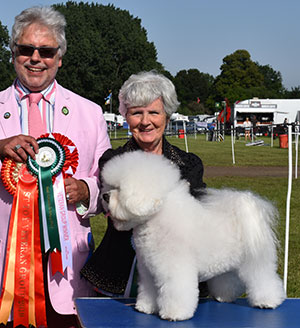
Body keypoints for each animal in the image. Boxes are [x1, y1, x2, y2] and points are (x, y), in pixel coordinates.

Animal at [101, 151, 286, 320]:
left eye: (120, 189)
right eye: (109, 186)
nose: (104, 196)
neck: (157, 219)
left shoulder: (174, 269)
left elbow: (176, 292)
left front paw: (174, 314)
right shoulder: (148, 272)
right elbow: (149, 291)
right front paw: (145, 307)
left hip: (255, 262)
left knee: (263, 279)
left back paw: (267, 301)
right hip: (227, 264)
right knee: (229, 280)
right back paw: (224, 296)